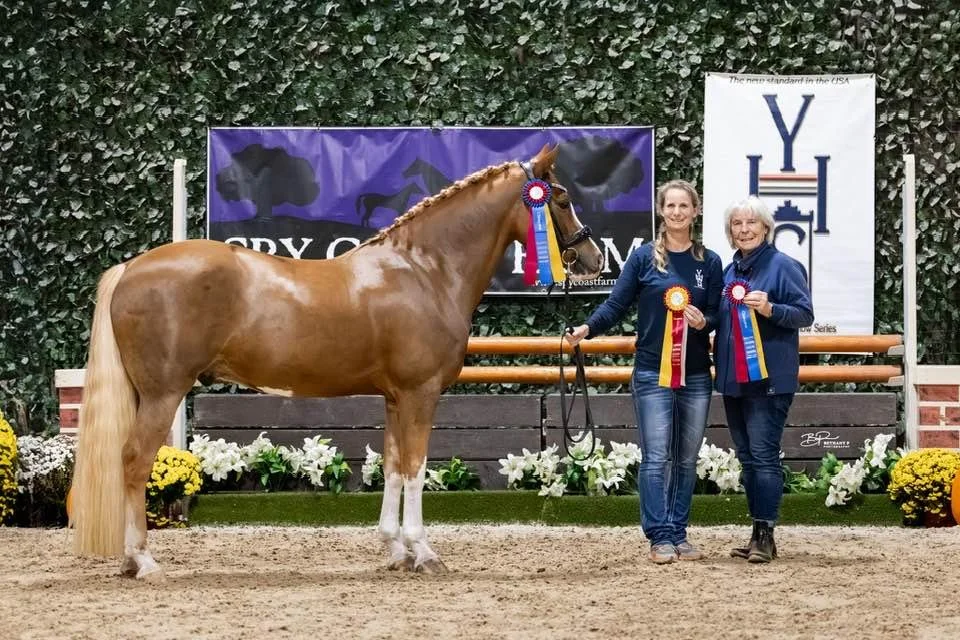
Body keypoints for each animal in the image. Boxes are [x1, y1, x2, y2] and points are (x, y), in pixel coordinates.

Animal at [68, 143, 604, 579]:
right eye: (559, 198)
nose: (594, 259)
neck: (424, 270)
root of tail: (130, 269)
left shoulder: (395, 398)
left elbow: (393, 466)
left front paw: (396, 550)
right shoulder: (420, 394)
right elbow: (416, 466)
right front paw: (424, 552)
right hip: (164, 394)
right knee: (134, 462)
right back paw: (143, 561)